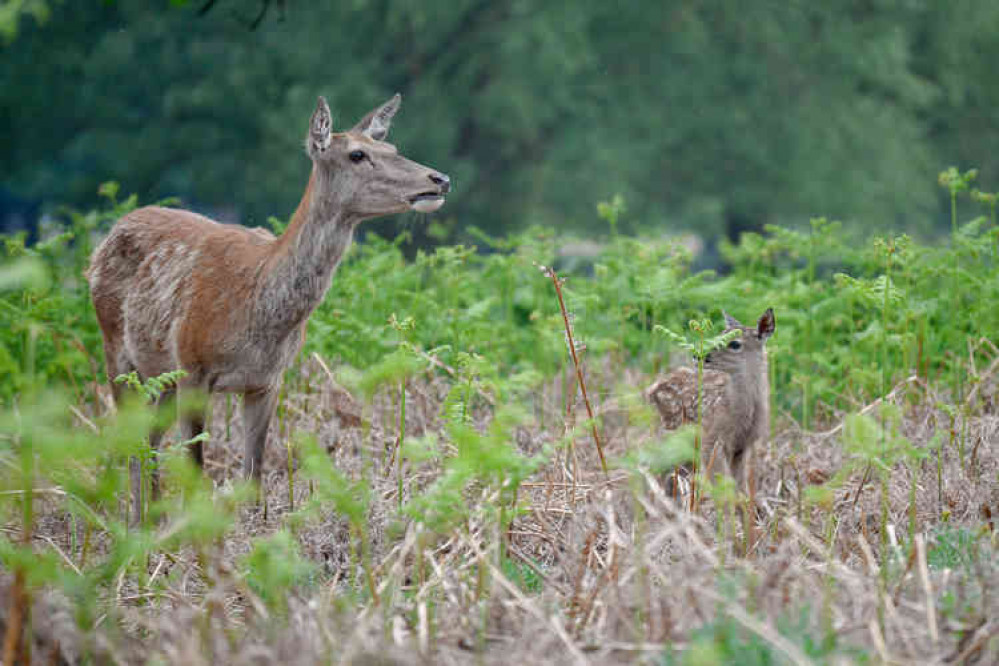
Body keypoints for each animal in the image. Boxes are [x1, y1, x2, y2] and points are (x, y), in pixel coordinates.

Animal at [90, 92, 450, 512]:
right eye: (357, 154)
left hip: (160, 374)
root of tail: (105, 238)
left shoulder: (267, 380)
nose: (439, 179)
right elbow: (196, 474)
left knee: (148, 442)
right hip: (116, 350)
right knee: (132, 444)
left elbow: (254, 475)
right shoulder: (193, 365)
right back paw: (137, 520)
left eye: (392, 148)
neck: (258, 312)